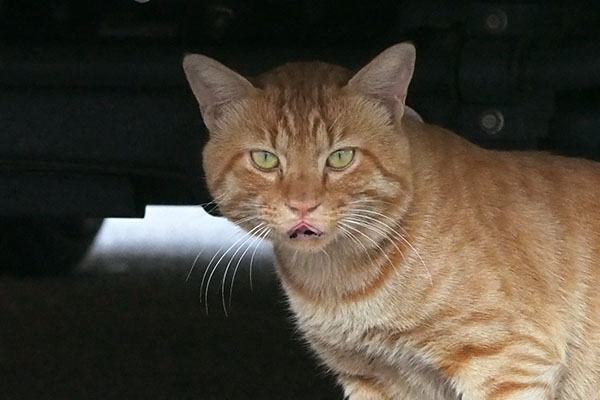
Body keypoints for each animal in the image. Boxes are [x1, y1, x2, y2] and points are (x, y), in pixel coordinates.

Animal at [183, 43, 600, 396]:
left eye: (341, 157)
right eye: (266, 159)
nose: (303, 204)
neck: (335, 280)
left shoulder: (511, 362)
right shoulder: (370, 377)